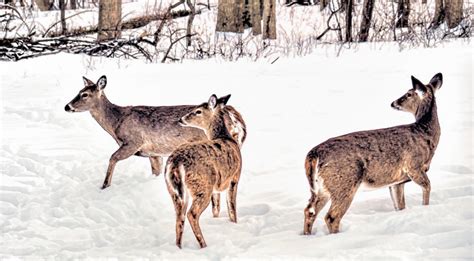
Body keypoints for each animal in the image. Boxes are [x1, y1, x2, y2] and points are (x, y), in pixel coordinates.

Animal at [64, 75, 246, 189]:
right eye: (78, 92)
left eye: (84, 94)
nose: (67, 106)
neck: (117, 121)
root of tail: (233, 115)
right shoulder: (153, 152)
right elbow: (155, 171)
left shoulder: (133, 141)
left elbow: (112, 157)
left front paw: (104, 185)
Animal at [165, 93, 243, 248]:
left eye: (198, 111)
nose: (180, 119)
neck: (226, 137)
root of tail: (176, 162)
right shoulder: (235, 177)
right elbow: (232, 207)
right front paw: (234, 224)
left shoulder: (217, 187)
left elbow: (216, 207)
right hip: (201, 184)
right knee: (192, 214)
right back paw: (203, 245)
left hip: (174, 190)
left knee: (179, 217)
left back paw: (179, 247)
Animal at [304, 72, 444, 234]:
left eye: (408, 94)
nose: (393, 103)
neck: (425, 134)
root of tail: (313, 155)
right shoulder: (413, 166)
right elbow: (427, 186)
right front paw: (425, 209)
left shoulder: (397, 180)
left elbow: (400, 205)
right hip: (344, 182)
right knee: (331, 216)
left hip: (322, 188)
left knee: (309, 210)